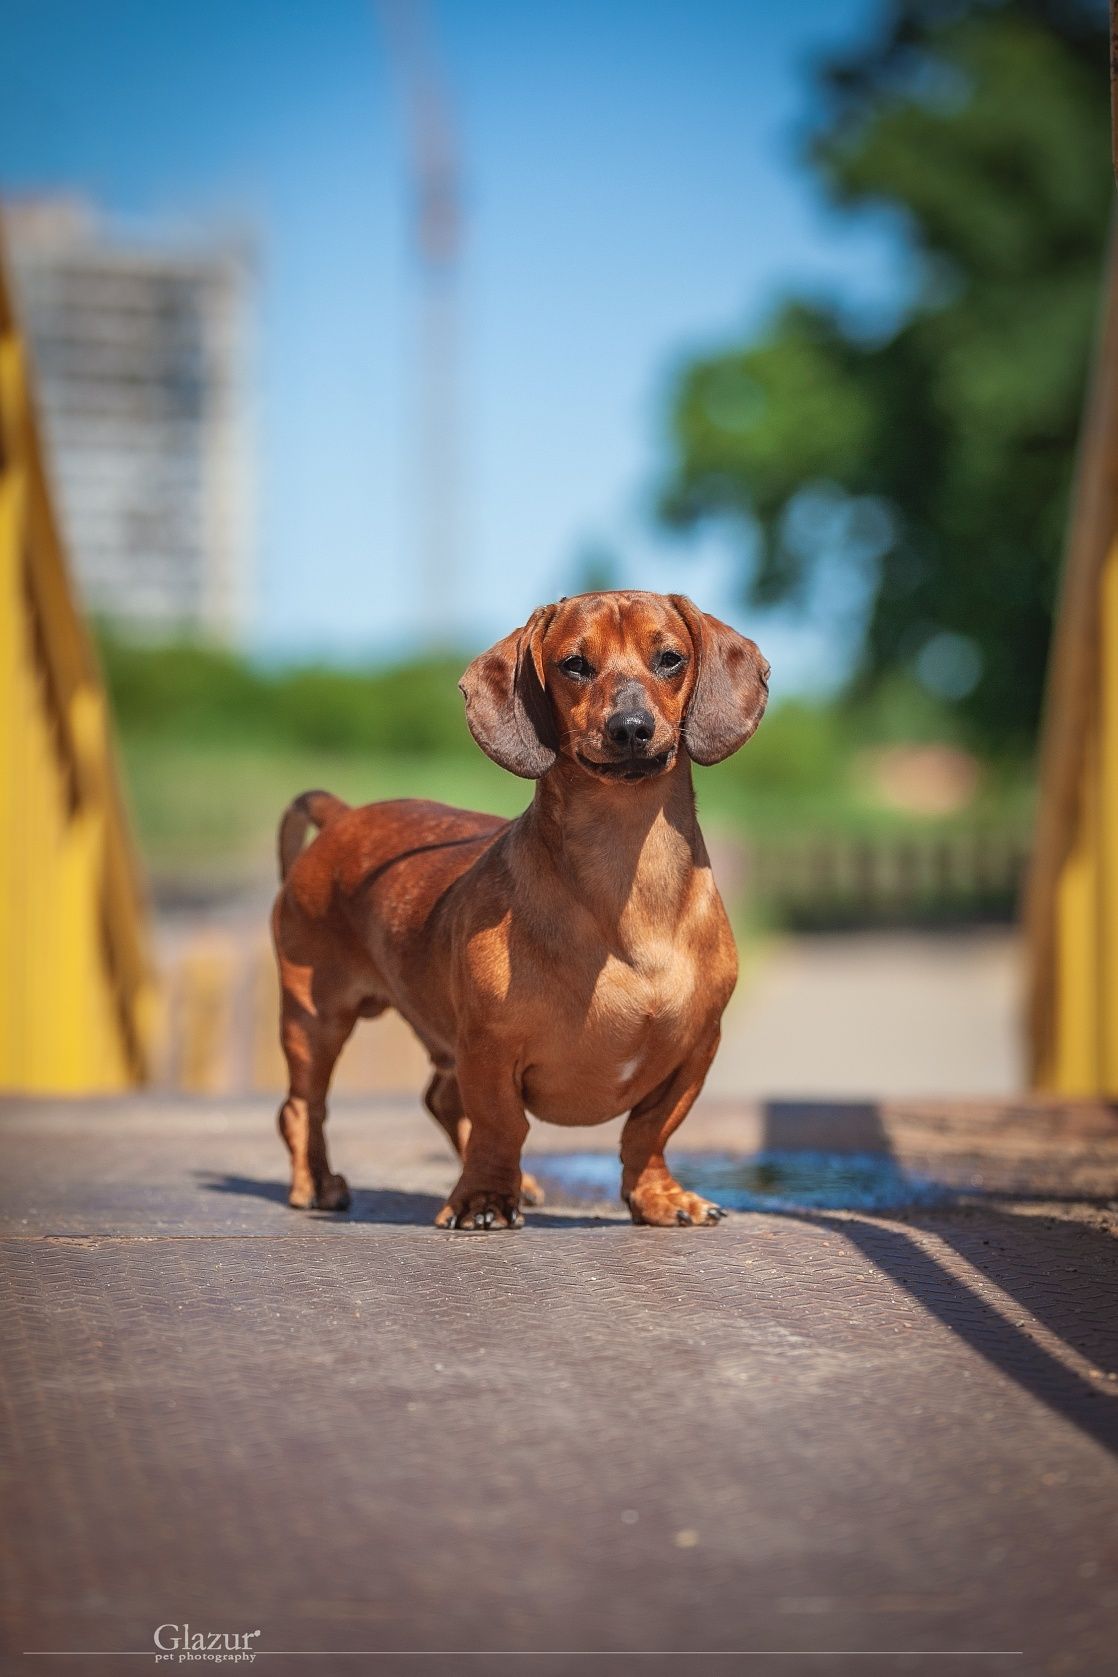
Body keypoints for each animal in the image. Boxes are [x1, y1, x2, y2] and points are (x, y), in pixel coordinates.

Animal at [271, 597, 771, 1227]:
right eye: (574, 664)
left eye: (671, 658)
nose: (631, 728)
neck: (626, 878)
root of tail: (341, 817)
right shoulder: (490, 1047)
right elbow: (501, 1125)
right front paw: (483, 1199)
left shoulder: (696, 1050)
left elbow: (649, 1132)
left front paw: (658, 1196)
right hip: (314, 1017)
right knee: (303, 1106)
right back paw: (316, 1182)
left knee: (439, 1099)